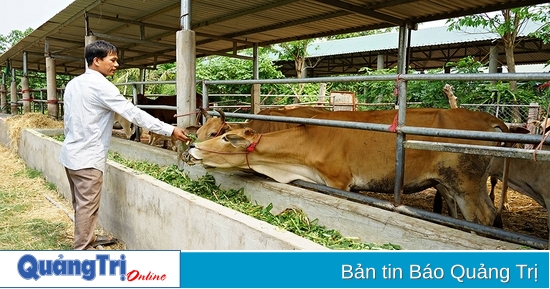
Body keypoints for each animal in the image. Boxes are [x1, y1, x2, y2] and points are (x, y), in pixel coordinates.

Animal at [188, 107, 512, 225]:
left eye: (224, 136)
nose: (191, 147)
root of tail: (490, 119)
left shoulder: (339, 182)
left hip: (466, 184)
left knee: (484, 216)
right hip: (450, 185)